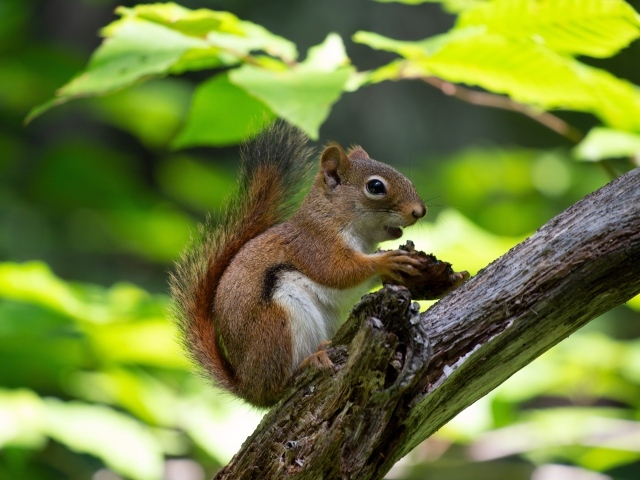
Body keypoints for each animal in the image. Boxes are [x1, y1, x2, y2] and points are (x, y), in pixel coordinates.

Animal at [172, 122, 428, 406]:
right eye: (375, 187)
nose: (419, 211)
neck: (332, 216)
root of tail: (249, 388)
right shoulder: (314, 245)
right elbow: (338, 272)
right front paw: (387, 260)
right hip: (278, 324)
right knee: (279, 384)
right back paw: (309, 362)